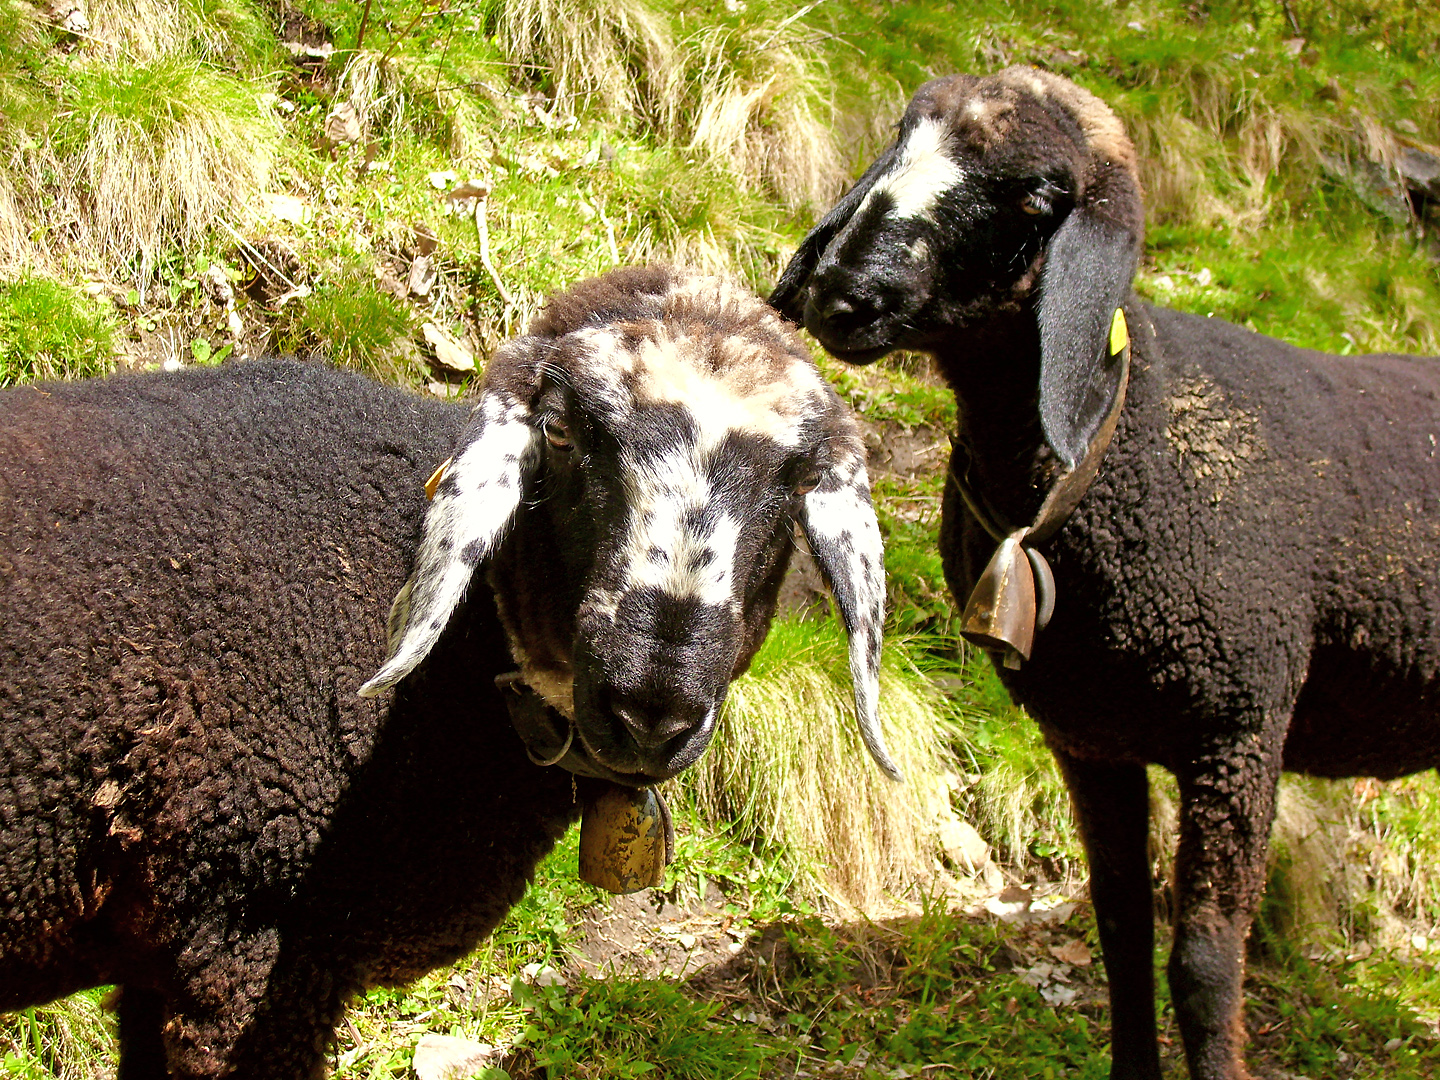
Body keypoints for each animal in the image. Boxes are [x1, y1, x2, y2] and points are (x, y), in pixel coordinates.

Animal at [771, 67, 1440, 1080]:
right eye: (902, 137)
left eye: (1039, 197)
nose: (841, 296)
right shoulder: (1091, 735)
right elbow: (1121, 931)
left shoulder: (1239, 727)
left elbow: (1204, 965)